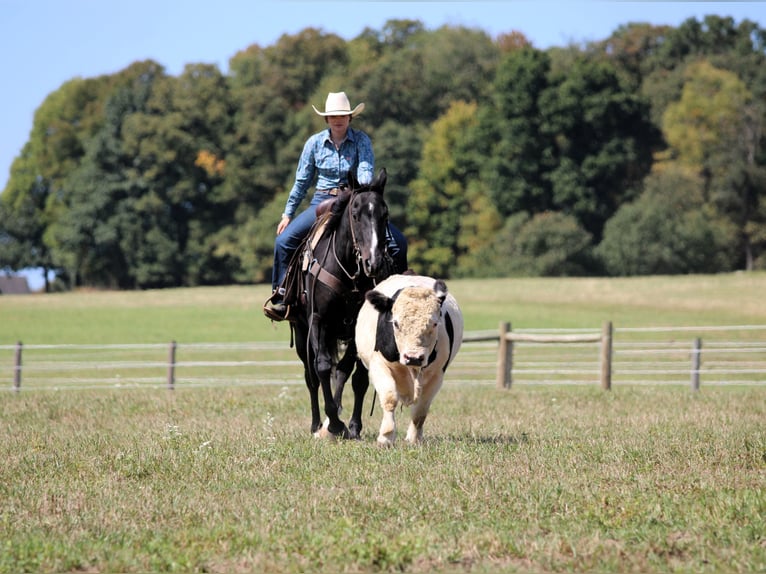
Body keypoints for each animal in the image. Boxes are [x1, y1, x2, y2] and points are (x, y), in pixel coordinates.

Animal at [290, 168, 395, 439]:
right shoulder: (318, 321)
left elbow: (356, 376)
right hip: (301, 331)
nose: (373, 263)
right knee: (311, 376)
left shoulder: (360, 328)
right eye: (355, 215)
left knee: (344, 372)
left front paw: (352, 425)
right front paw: (335, 424)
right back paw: (318, 423)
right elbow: (323, 367)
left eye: (385, 215)